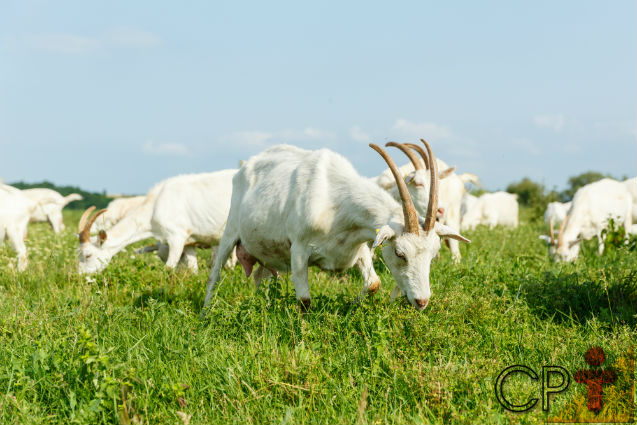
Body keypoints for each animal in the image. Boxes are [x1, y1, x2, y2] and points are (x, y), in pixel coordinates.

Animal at [202, 142, 468, 312]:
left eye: (433, 255)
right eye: (400, 253)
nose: (422, 301)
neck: (335, 200)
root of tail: (245, 167)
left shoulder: (357, 246)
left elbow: (373, 284)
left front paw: (352, 306)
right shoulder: (298, 249)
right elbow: (304, 300)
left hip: (266, 252)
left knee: (261, 277)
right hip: (231, 230)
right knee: (215, 275)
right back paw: (205, 313)